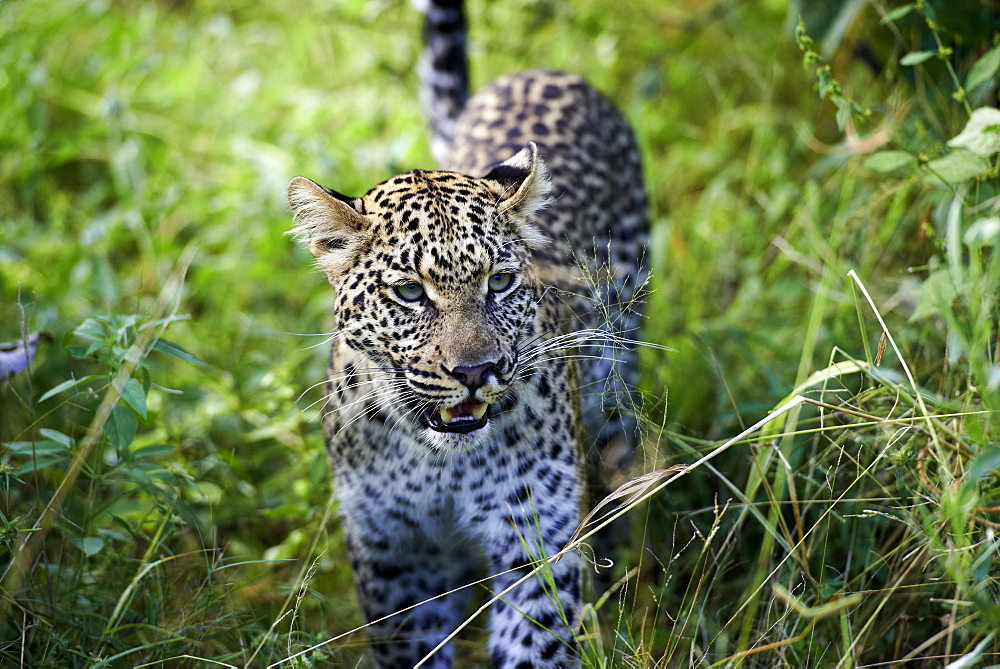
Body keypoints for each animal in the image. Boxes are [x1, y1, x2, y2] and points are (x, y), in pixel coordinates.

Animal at [288, 2, 648, 664]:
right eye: (410, 293)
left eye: (499, 283)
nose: (477, 372)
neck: (440, 463)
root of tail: (544, 71)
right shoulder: (394, 558)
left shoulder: (534, 543)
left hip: (616, 375)